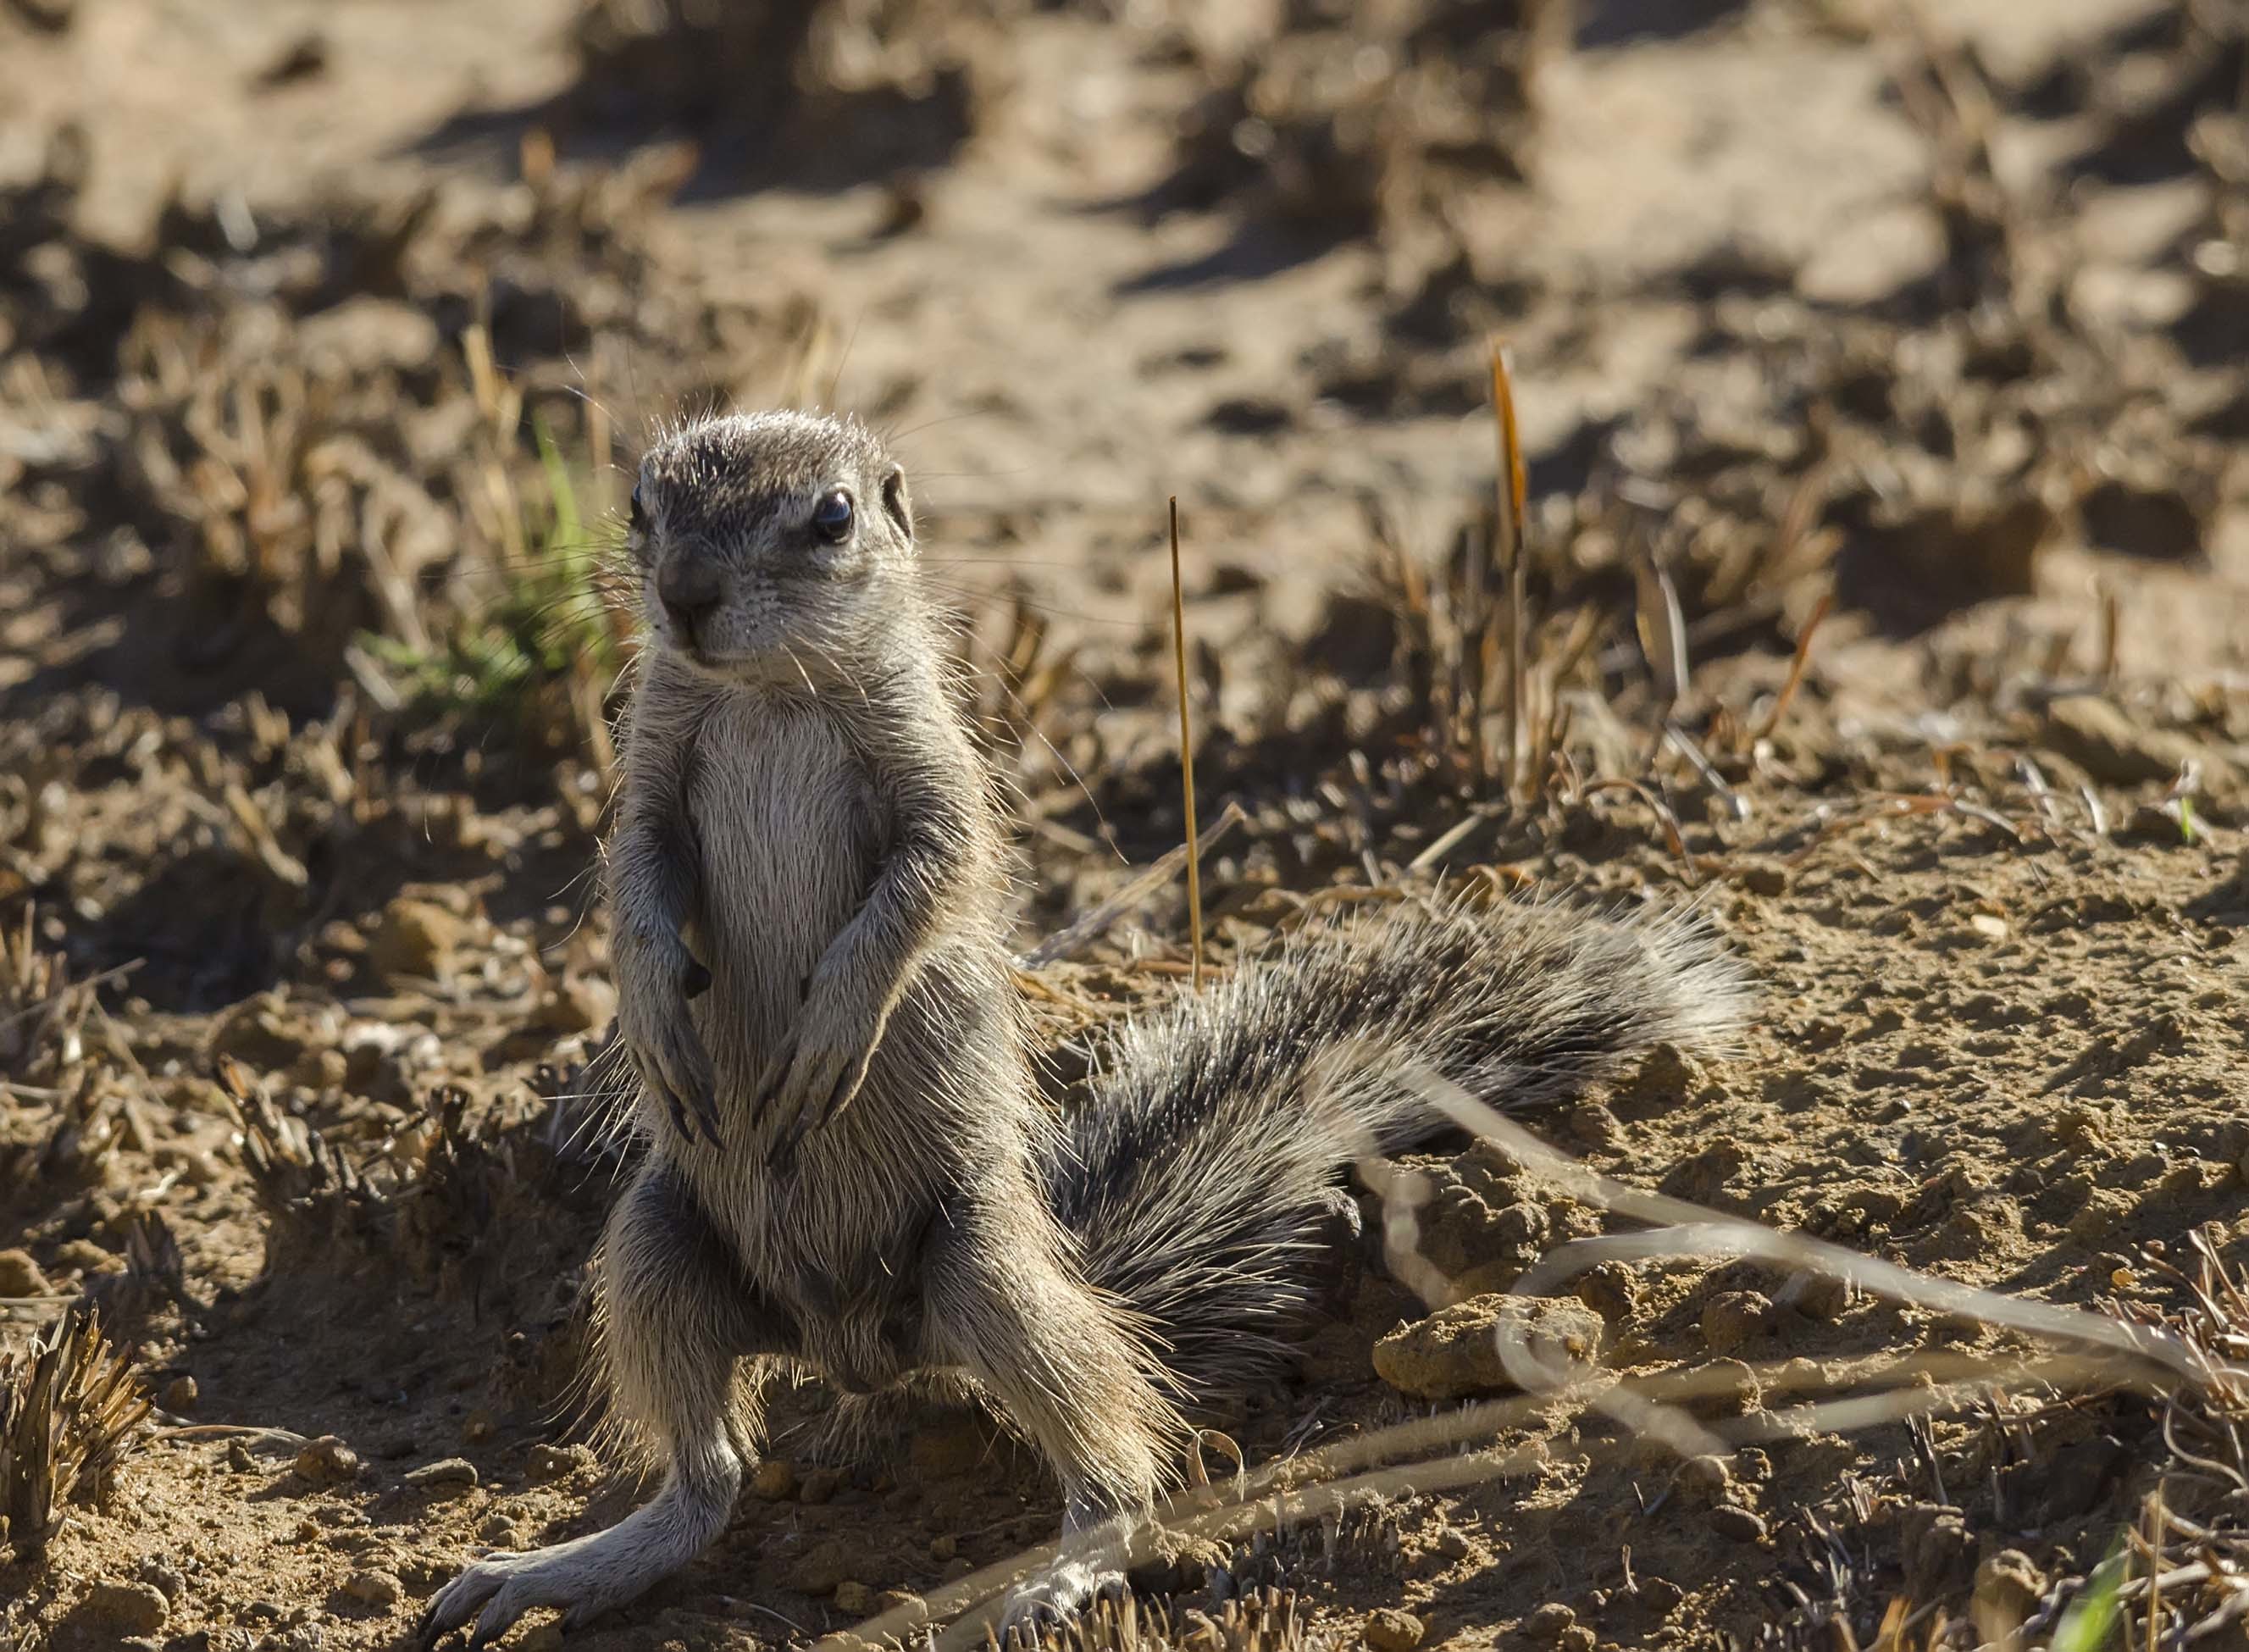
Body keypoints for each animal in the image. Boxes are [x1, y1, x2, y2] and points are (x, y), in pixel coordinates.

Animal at [423, 407, 1753, 1647]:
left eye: (832, 517)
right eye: (640, 507)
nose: (684, 595)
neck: (766, 695)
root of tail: (864, 1351)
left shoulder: (933, 775)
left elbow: (921, 887)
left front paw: (832, 1026)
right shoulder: (650, 773)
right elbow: (637, 884)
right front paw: (654, 1014)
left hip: (981, 1267)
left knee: (1115, 1451)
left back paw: (1060, 1574)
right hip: (656, 1239)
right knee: (708, 1480)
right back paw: (556, 1569)